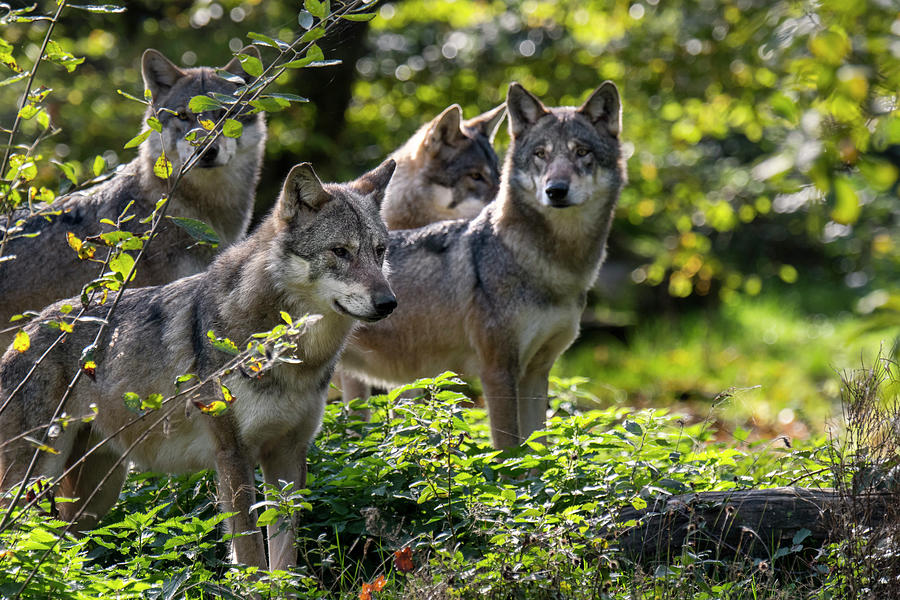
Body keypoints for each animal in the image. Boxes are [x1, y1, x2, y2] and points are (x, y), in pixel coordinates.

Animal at [0, 161, 398, 572]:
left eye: (379, 251)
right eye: (340, 251)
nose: (388, 303)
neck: (294, 357)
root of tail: (25, 331)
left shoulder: (288, 454)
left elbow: (284, 557)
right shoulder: (232, 454)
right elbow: (250, 550)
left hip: (95, 496)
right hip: (34, 481)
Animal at [340, 83, 624, 450]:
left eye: (581, 152)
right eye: (541, 154)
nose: (556, 190)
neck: (556, 269)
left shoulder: (536, 372)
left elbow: (538, 448)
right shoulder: (497, 371)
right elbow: (509, 450)